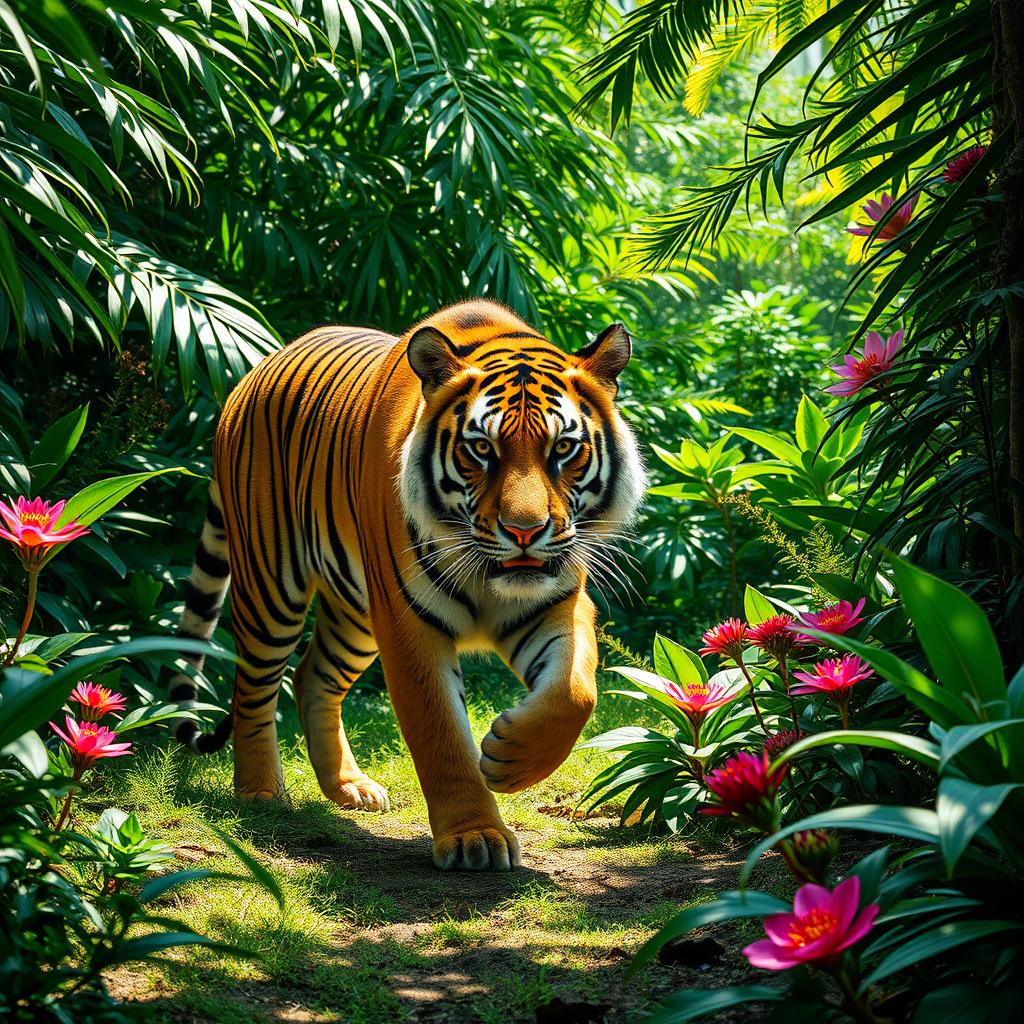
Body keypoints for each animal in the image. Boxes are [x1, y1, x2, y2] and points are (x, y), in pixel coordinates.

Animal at [170, 299, 645, 870]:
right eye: (481, 448)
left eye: (564, 448)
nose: (524, 532)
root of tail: (255, 371)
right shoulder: (406, 621)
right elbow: (439, 732)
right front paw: (474, 836)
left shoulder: (556, 602)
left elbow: (575, 692)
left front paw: (509, 760)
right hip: (271, 588)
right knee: (253, 688)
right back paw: (261, 793)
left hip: (354, 617)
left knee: (312, 674)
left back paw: (348, 787)